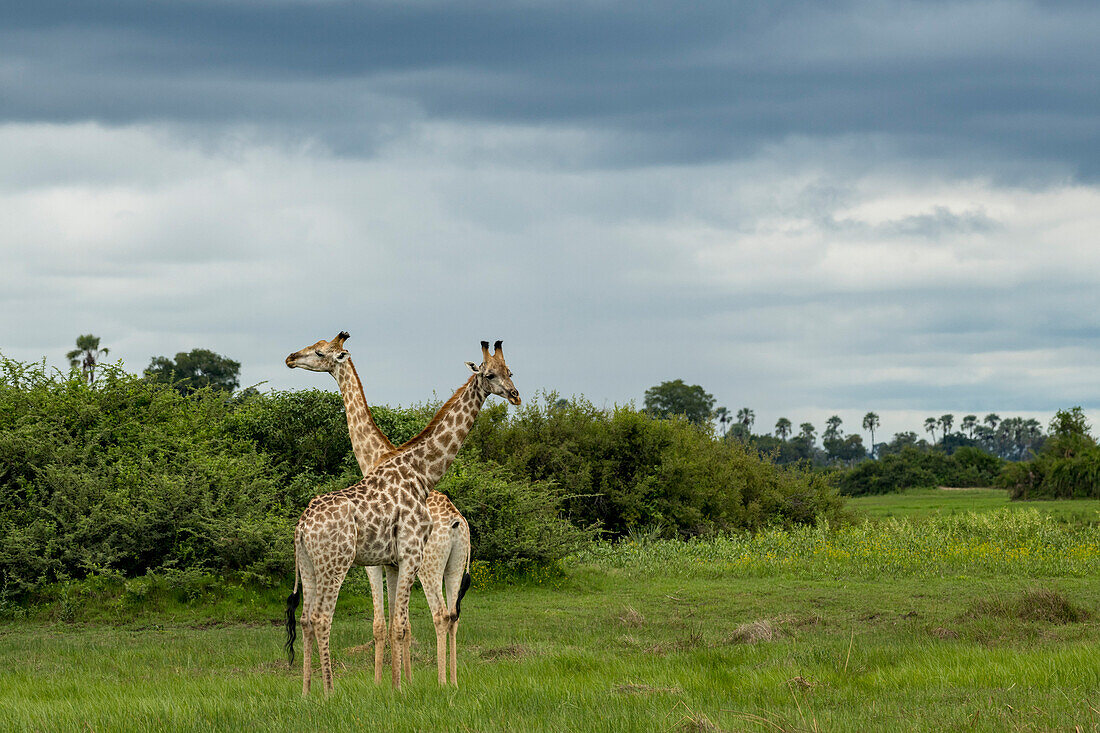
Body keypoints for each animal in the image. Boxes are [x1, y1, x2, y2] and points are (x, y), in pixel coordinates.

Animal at [286, 338, 521, 695]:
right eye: (489, 374)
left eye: (510, 371)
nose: (515, 395)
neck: (419, 471)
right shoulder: (399, 557)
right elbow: (393, 624)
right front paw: (396, 687)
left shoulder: (393, 561)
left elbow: (397, 624)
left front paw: (397, 686)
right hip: (340, 564)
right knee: (322, 618)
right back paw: (329, 693)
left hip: (319, 566)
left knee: (310, 618)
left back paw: (309, 693)